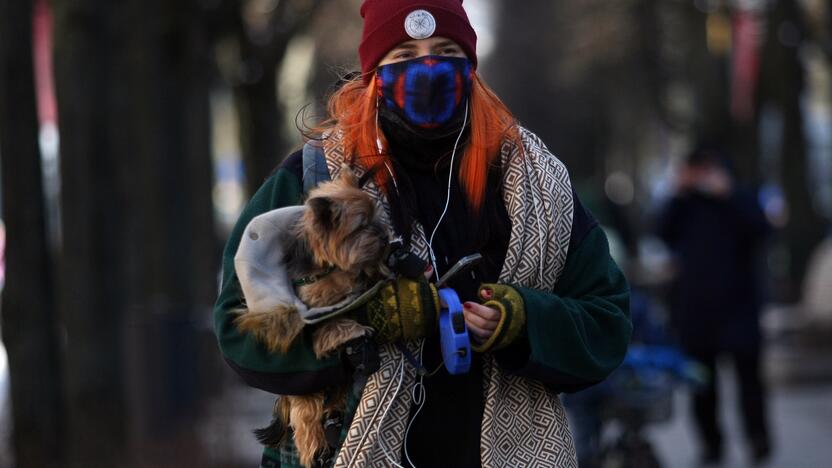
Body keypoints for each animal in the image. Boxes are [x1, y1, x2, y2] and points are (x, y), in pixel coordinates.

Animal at [234, 166, 390, 466]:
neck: (328, 265)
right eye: (362, 225)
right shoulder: (311, 308)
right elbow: (329, 320)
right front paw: (352, 327)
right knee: (306, 416)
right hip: (303, 399)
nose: (388, 238)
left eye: (377, 217)